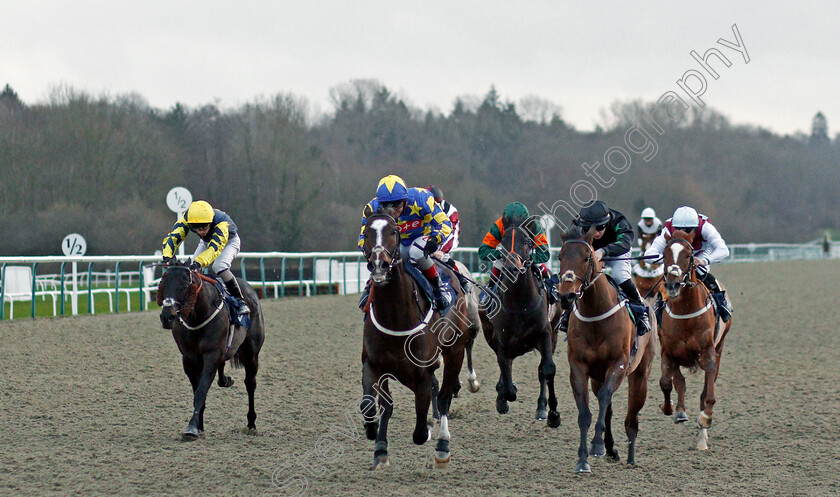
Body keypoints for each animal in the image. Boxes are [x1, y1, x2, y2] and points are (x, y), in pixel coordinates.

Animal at [157, 260, 262, 438]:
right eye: (163, 283)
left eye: (184, 285)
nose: (167, 317)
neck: (197, 315)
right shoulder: (189, 358)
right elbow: (198, 391)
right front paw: (198, 425)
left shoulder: (211, 354)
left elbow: (201, 392)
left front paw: (192, 427)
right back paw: (226, 380)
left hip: (251, 353)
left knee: (250, 383)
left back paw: (251, 423)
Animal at [360, 212, 480, 468]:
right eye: (367, 232)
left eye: (394, 231)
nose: (379, 265)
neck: (396, 316)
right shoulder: (373, 363)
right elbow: (376, 405)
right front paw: (377, 442)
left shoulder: (422, 371)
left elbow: (420, 427)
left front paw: (428, 430)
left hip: (456, 349)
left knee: (445, 396)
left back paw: (443, 446)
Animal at [482, 215, 560, 424]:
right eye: (502, 242)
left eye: (526, 241)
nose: (511, 267)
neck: (520, 303)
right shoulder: (501, 341)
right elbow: (506, 375)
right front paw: (503, 398)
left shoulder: (545, 333)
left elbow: (547, 369)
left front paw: (551, 413)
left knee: (541, 370)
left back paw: (541, 408)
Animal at [560, 227, 660, 470]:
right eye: (560, 257)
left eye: (586, 258)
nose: (566, 296)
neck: (595, 315)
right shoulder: (579, 367)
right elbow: (585, 411)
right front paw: (583, 459)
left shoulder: (619, 363)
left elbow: (606, 396)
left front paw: (596, 445)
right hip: (598, 376)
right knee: (608, 408)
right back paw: (611, 448)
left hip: (640, 374)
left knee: (632, 416)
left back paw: (631, 457)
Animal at [660, 231, 732, 452]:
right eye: (665, 254)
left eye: (689, 254)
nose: (673, 284)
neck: (686, 312)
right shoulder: (668, 351)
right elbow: (669, 382)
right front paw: (673, 408)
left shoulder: (708, 352)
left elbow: (707, 394)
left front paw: (706, 418)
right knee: (678, 382)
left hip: (719, 348)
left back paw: (702, 439)